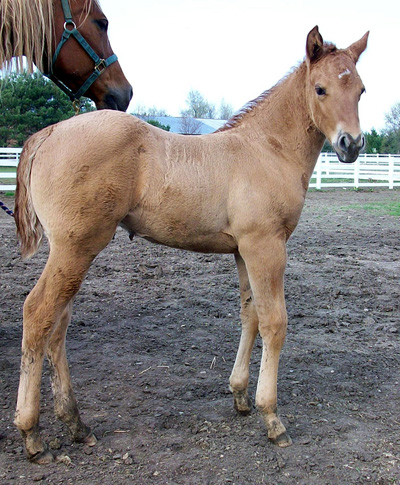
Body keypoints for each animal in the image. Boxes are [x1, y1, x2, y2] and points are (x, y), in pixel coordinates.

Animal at [13, 25, 368, 462]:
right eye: (320, 89)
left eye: (361, 90)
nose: (351, 144)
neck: (267, 149)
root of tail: (49, 133)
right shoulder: (266, 246)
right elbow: (275, 322)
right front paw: (272, 417)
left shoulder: (243, 251)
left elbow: (250, 315)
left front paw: (240, 396)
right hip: (76, 248)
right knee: (38, 314)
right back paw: (32, 434)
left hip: (71, 251)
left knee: (57, 323)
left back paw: (76, 424)